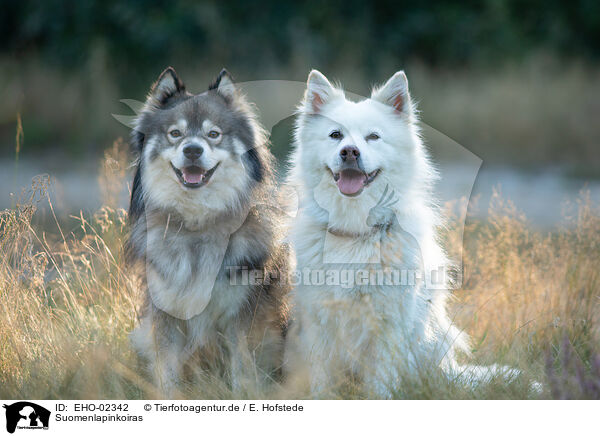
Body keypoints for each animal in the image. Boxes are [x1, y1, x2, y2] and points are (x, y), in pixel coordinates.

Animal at [284, 70, 512, 396]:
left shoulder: (388, 326)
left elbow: (381, 385)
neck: (357, 227)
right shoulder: (318, 323)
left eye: (373, 137)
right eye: (335, 135)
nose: (349, 152)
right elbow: (322, 383)